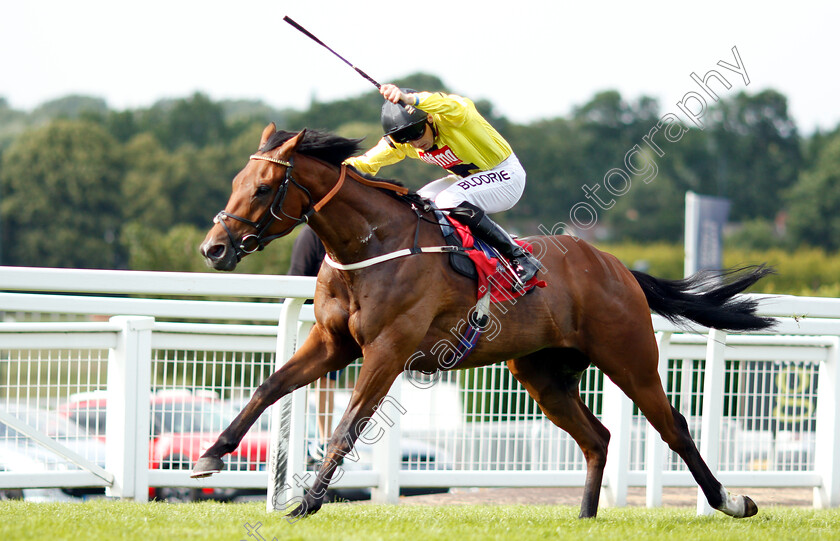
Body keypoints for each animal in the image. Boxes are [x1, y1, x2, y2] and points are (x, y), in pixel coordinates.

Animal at [194, 123, 772, 520]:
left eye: (264, 188)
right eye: (237, 180)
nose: (213, 248)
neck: (371, 245)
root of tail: (616, 267)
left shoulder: (387, 350)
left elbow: (346, 427)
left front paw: (306, 504)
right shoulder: (333, 343)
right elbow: (268, 388)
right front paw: (211, 455)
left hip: (630, 358)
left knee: (673, 427)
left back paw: (731, 501)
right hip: (542, 374)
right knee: (598, 437)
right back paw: (586, 517)